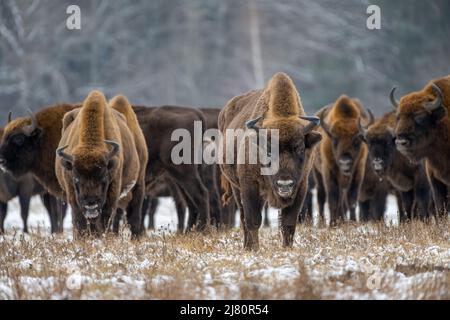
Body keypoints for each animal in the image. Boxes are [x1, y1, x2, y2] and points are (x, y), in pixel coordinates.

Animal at [54, 91, 146, 236]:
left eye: (103, 179)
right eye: (76, 179)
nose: (91, 205)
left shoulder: (112, 191)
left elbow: (105, 218)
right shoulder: (72, 192)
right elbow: (79, 220)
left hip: (139, 182)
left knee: (134, 216)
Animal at [220, 73, 322, 250]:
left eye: (300, 148)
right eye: (268, 149)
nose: (284, 184)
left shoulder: (301, 185)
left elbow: (288, 222)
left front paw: (287, 248)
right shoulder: (249, 185)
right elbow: (253, 220)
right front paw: (254, 249)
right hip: (236, 188)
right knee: (243, 218)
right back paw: (247, 246)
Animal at [312, 96, 372, 224]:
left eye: (357, 140)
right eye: (335, 139)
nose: (345, 162)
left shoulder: (358, 173)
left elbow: (351, 199)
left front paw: (353, 221)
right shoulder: (329, 173)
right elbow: (333, 199)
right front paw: (332, 224)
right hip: (317, 172)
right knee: (321, 196)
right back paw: (322, 222)